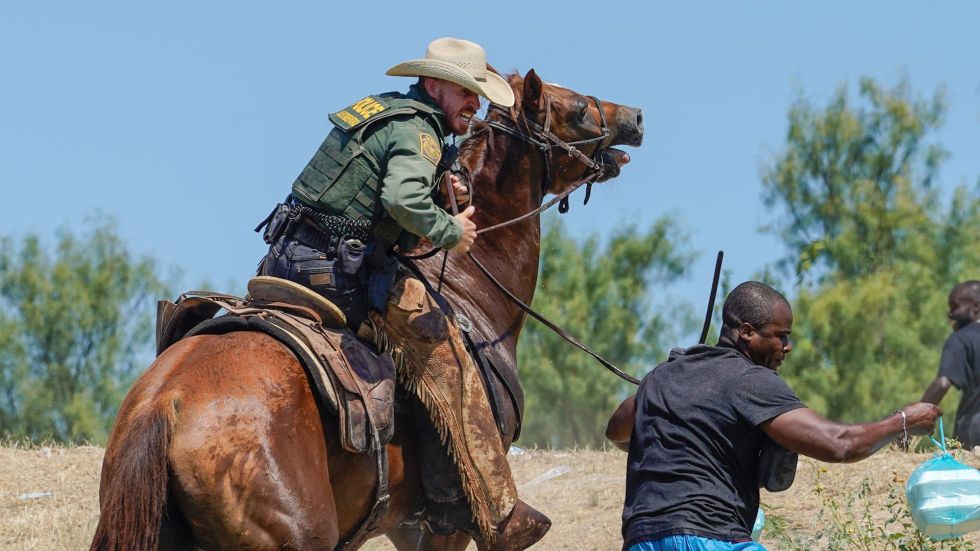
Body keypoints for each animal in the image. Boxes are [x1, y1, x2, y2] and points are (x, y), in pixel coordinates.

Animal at [90, 70, 644, 551]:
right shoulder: (448, 526)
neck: (469, 288)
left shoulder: (399, 524)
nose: (635, 117)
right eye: (577, 109)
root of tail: (164, 405)